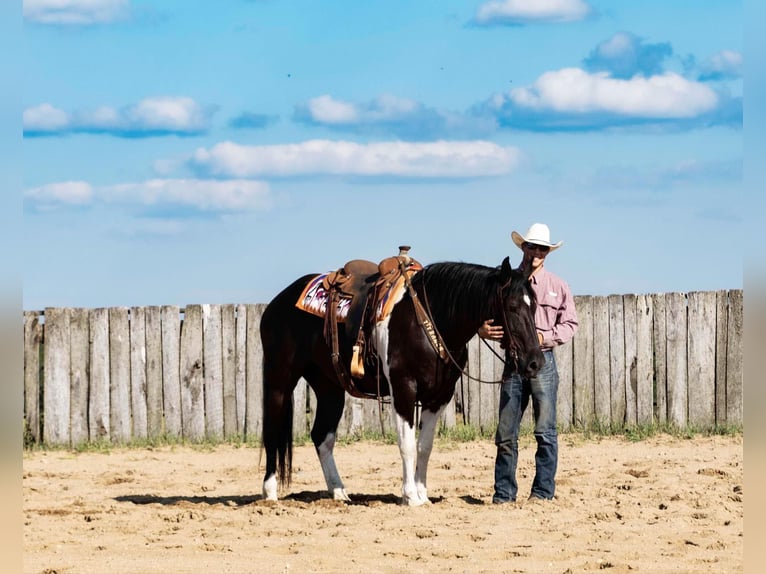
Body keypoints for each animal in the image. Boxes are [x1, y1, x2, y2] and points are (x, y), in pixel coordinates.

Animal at [262, 256, 544, 508]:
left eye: (534, 307)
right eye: (512, 307)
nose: (535, 362)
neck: (430, 320)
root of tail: (277, 303)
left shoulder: (438, 397)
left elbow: (424, 446)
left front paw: (423, 494)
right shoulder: (403, 390)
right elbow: (407, 445)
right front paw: (410, 497)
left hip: (329, 388)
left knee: (322, 436)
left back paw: (339, 492)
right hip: (279, 380)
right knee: (273, 432)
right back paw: (270, 493)